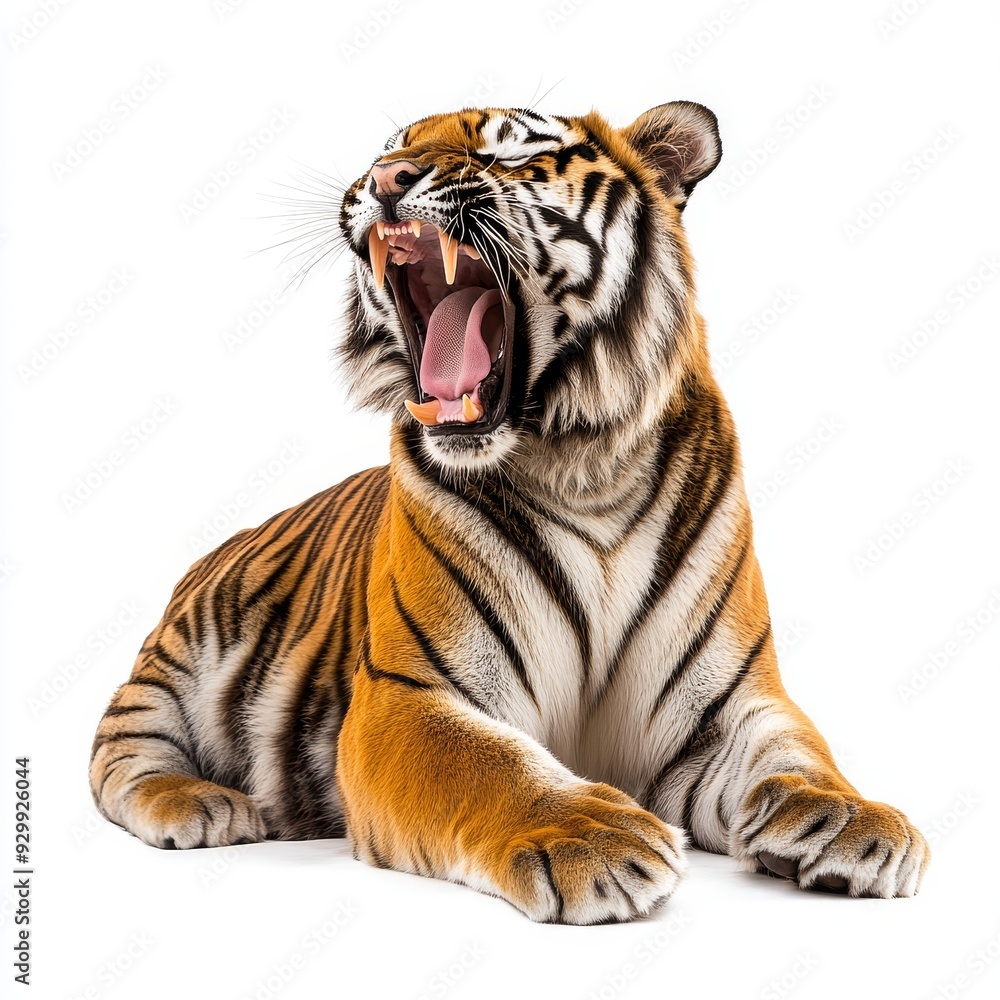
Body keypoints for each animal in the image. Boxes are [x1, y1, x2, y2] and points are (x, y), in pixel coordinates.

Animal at [89, 100, 929, 923]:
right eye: (387, 148)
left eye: (510, 150)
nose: (385, 178)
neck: (586, 470)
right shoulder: (408, 696)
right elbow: (492, 765)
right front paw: (594, 835)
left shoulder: (730, 704)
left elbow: (799, 754)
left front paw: (852, 822)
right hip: (173, 663)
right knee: (118, 754)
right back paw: (204, 804)